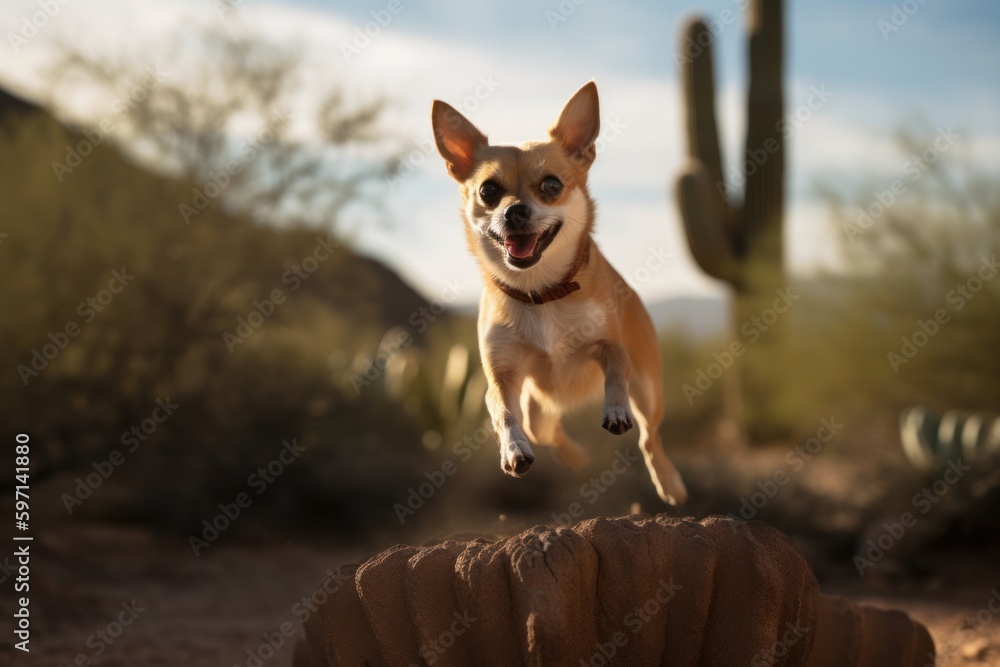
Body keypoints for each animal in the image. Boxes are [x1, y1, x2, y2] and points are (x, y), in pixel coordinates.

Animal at [430, 81, 688, 504]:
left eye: (551, 185)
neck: (541, 292)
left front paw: (615, 411)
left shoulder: (610, 346)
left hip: (649, 389)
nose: (514, 211)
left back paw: (669, 483)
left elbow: (615, 373)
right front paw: (513, 450)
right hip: (538, 404)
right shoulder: (501, 376)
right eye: (488, 190)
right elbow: (503, 413)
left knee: (650, 437)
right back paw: (574, 457)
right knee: (543, 429)